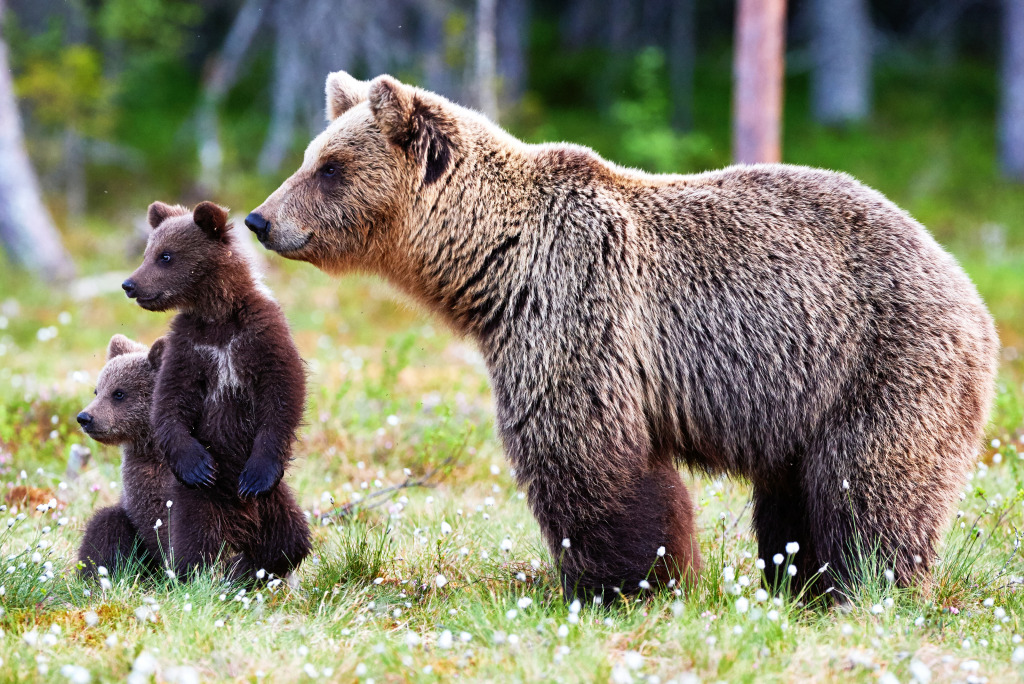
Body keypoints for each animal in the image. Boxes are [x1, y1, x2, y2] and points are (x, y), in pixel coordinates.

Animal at [243, 72, 995, 602]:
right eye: (311, 156)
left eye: (330, 167)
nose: (259, 218)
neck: (494, 270)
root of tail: (971, 292)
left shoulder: (577, 308)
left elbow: (584, 452)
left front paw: (621, 582)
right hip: (804, 403)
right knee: (795, 497)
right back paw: (801, 583)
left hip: (882, 362)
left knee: (868, 483)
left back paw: (866, 584)